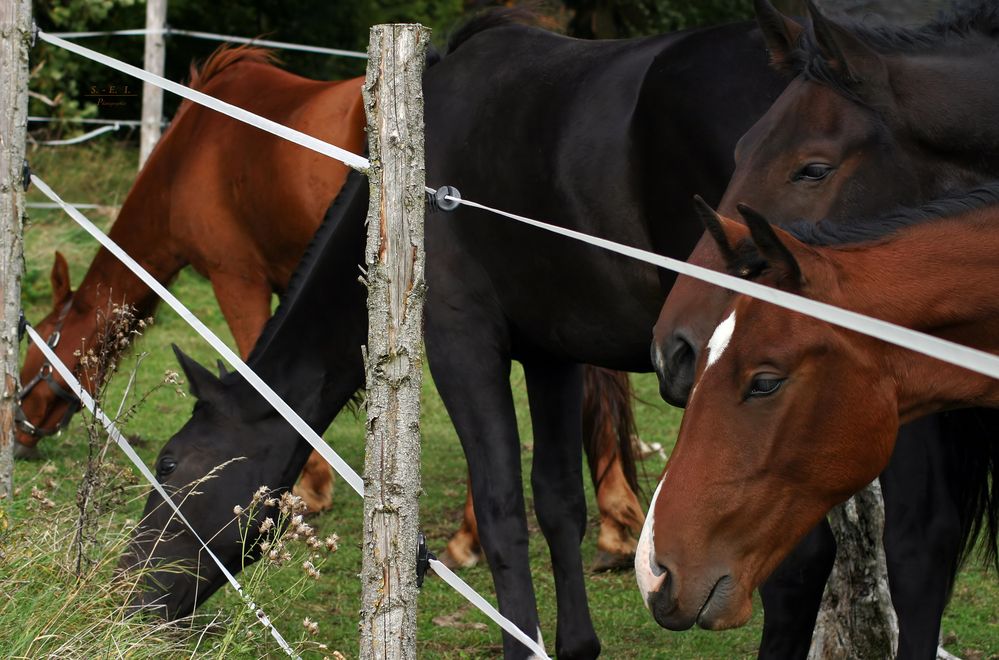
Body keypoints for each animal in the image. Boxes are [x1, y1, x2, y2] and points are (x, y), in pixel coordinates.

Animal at [21, 45, 648, 564]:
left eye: (33, 355)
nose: (19, 435)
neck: (196, 149)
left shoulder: (236, 278)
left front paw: (308, 490)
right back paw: (616, 526)